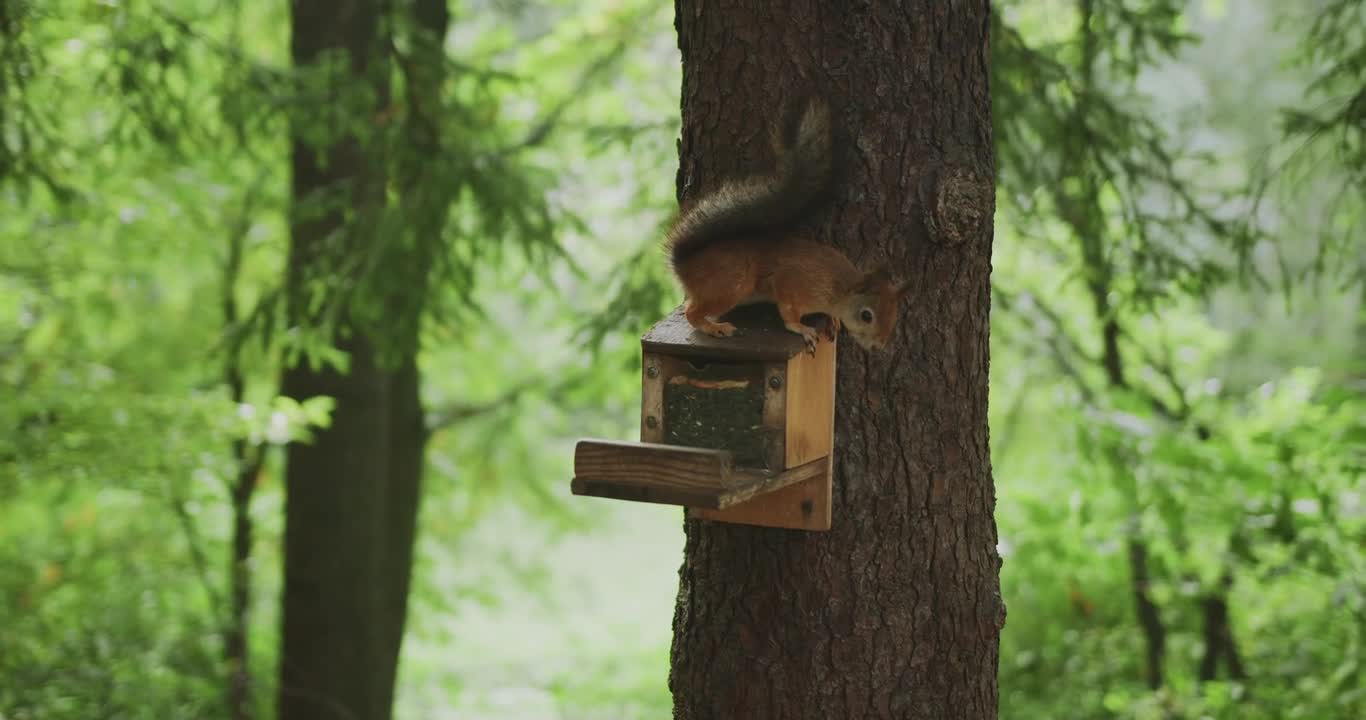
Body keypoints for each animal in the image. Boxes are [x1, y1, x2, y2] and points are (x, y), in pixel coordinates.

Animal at [666, 95, 912, 355]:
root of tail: (683, 265)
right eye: (867, 315)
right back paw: (715, 328)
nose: (878, 346)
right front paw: (802, 329)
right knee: (692, 312)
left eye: (894, 315)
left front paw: (833, 320)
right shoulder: (793, 283)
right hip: (730, 285)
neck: (839, 288)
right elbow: (788, 313)